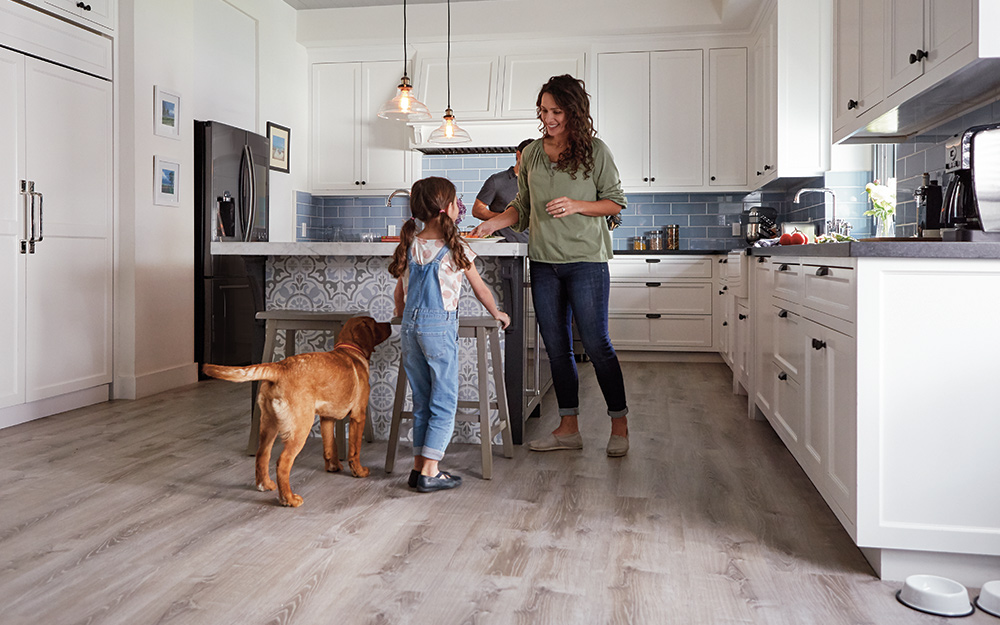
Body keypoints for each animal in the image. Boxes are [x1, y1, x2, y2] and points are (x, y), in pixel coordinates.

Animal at [202, 314, 390, 504]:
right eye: (375, 323)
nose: (389, 323)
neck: (350, 350)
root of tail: (279, 367)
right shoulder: (358, 415)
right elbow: (354, 450)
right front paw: (359, 471)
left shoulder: (326, 418)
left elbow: (331, 445)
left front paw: (334, 467)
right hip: (300, 427)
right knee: (283, 462)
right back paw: (289, 499)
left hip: (269, 424)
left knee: (262, 455)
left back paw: (265, 485)